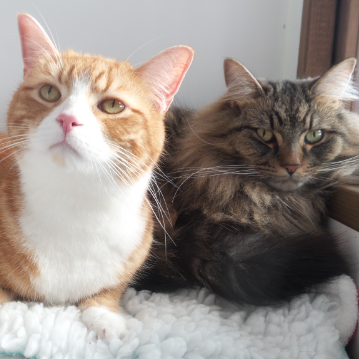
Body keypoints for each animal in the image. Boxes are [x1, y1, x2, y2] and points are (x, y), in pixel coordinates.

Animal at [0, 13, 194, 340]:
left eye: (113, 105)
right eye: (50, 92)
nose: (68, 119)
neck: (75, 208)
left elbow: (107, 291)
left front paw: (106, 314)